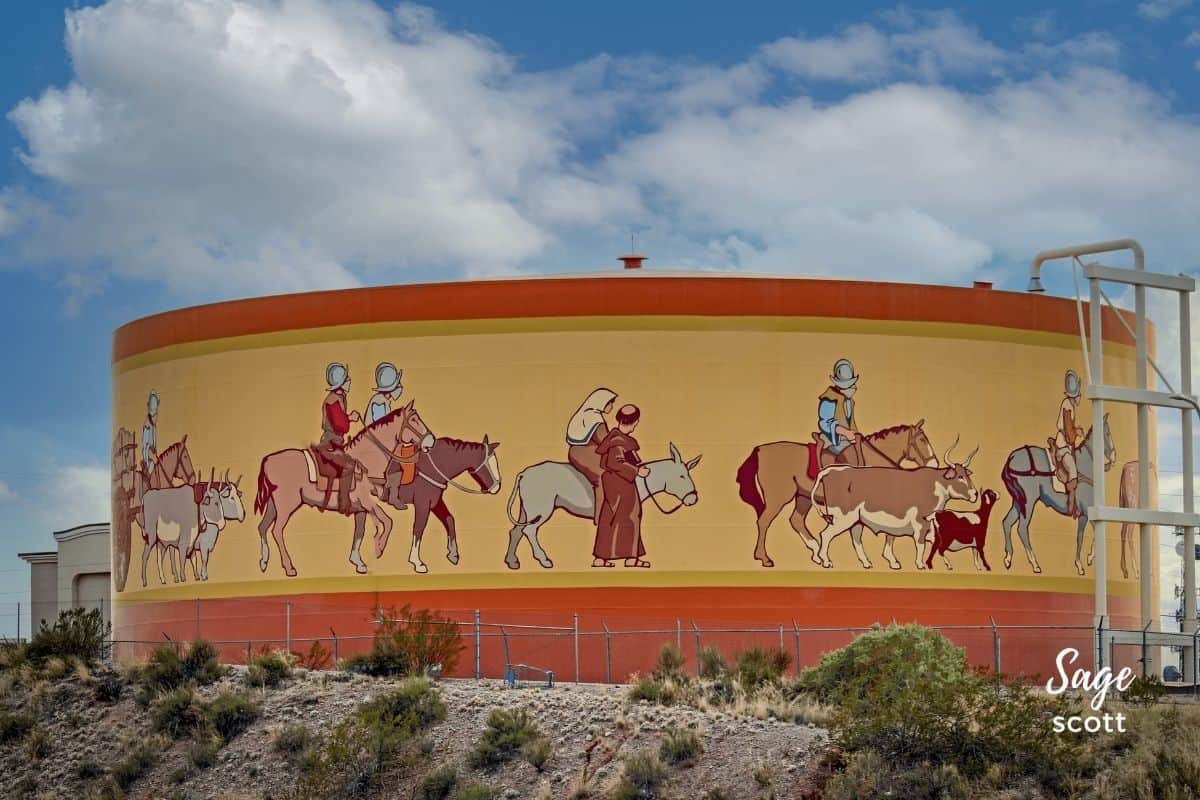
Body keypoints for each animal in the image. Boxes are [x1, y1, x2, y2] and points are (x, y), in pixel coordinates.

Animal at [254, 402, 436, 578]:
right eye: (414, 420)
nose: (431, 441)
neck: (366, 460)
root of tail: (268, 460)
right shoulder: (367, 501)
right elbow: (388, 522)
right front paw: (379, 547)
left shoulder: (361, 508)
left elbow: (360, 532)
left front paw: (358, 562)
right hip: (287, 505)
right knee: (277, 530)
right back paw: (289, 567)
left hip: (274, 504)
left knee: (262, 527)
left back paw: (264, 562)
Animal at [501, 443, 700, 568]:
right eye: (682, 476)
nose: (693, 500)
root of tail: (524, 473)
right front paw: (626, 561)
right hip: (541, 509)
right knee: (529, 531)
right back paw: (544, 560)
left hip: (527, 510)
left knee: (516, 531)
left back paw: (512, 562)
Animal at [729, 422, 936, 566]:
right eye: (922, 440)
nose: (934, 464)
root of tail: (759, 450)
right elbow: (885, 530)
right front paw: (890, 559)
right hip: (778, 497)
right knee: (764, 522)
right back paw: (765, 558)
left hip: (803, 497)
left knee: (796, 520)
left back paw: (816, 553)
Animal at [811, 448, 979, 573]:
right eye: (959, 476)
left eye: (967, 475)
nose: (975, 494)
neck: (936, 485)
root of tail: (831, 470)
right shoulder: (921, 521)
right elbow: (920, 543)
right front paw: (920, 564)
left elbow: (892, 540)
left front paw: (893, 562)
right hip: (843, 517)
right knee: (825, 534)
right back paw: (825, 561)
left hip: (856, 520)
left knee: (856, 538)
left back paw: (866, 562)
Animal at [993, 417, 1113, 578]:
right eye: (1107, 433)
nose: (1113, 457)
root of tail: (1011, 459)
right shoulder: (1085, 514)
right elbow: (1083, 537)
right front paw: (1083, 563)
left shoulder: (1084, 515)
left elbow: (1083, 536)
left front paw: (1084, 561)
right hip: (1028, 501)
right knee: (1022, 528)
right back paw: (1035, 564)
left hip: (1018, 501)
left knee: (1007, 522)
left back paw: (1008, 558)